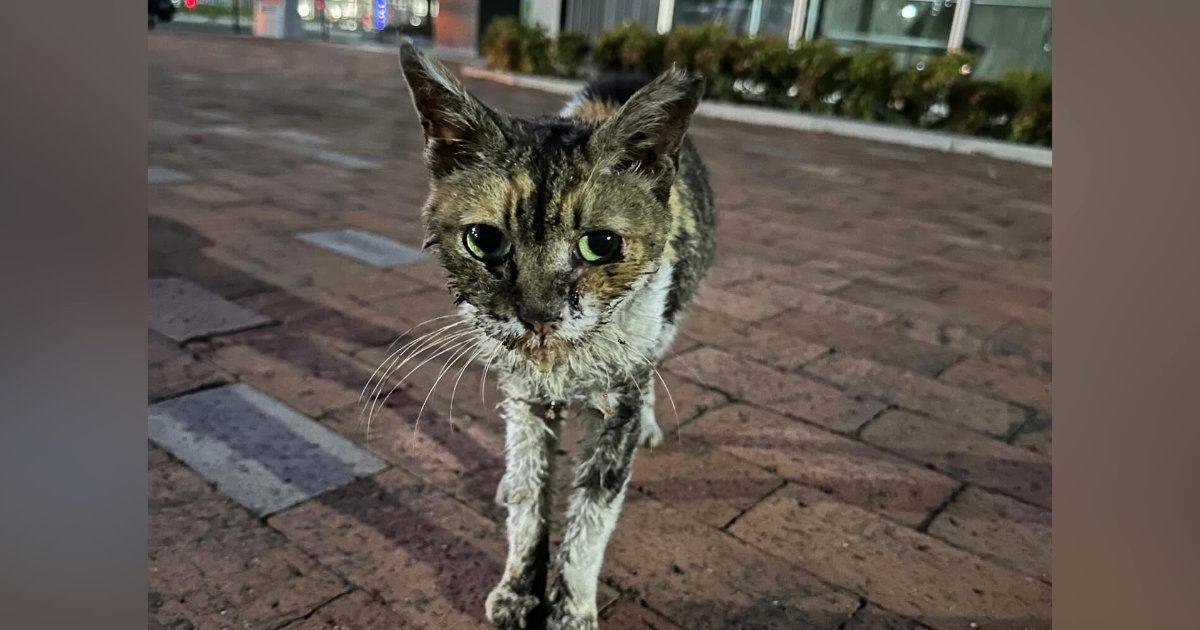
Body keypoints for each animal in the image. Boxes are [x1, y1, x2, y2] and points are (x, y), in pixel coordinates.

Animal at [397, 42, 715, 629]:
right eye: (483, 240)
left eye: (600, 245)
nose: (539, 315)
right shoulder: (525, 393)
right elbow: (530, 492)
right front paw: (519, 590)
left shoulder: (620, 394)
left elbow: (593, 511)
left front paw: (570, 609)